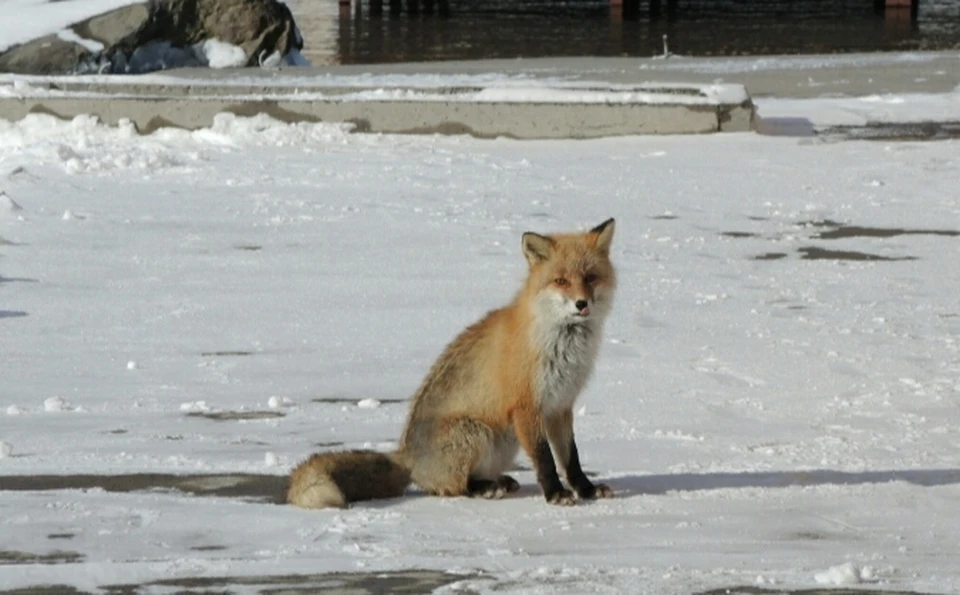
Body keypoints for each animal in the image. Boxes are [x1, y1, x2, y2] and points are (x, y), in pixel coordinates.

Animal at [286, 219, 616, 508]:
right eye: (560, 281)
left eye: (590, 278)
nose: (581, 304)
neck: (561, 342)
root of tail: (408, 457)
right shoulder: (526, 406)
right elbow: (545, 459)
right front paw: (556, 495)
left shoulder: (560, 405)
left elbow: (570, 458)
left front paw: (586, 489)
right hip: (476, 432)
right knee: (454, 487)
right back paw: (485, 488)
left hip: (503, 441)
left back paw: (498, 481)